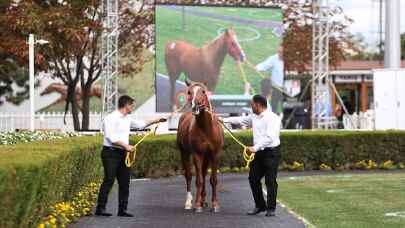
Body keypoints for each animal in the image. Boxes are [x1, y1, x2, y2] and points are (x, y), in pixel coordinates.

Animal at [177, 81, 224, 213]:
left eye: (203, 91)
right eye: (189, 92)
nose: (195, 106)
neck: (207, 129)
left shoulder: (215, 154)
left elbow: (213, 180)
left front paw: (215, 205)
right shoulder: (197, 154)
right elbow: (199, 180)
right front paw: (197, 205)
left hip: (207, 157)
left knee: (203, 173)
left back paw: (204, 201)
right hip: (184, 153)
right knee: (189, 175)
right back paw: (189, 203)